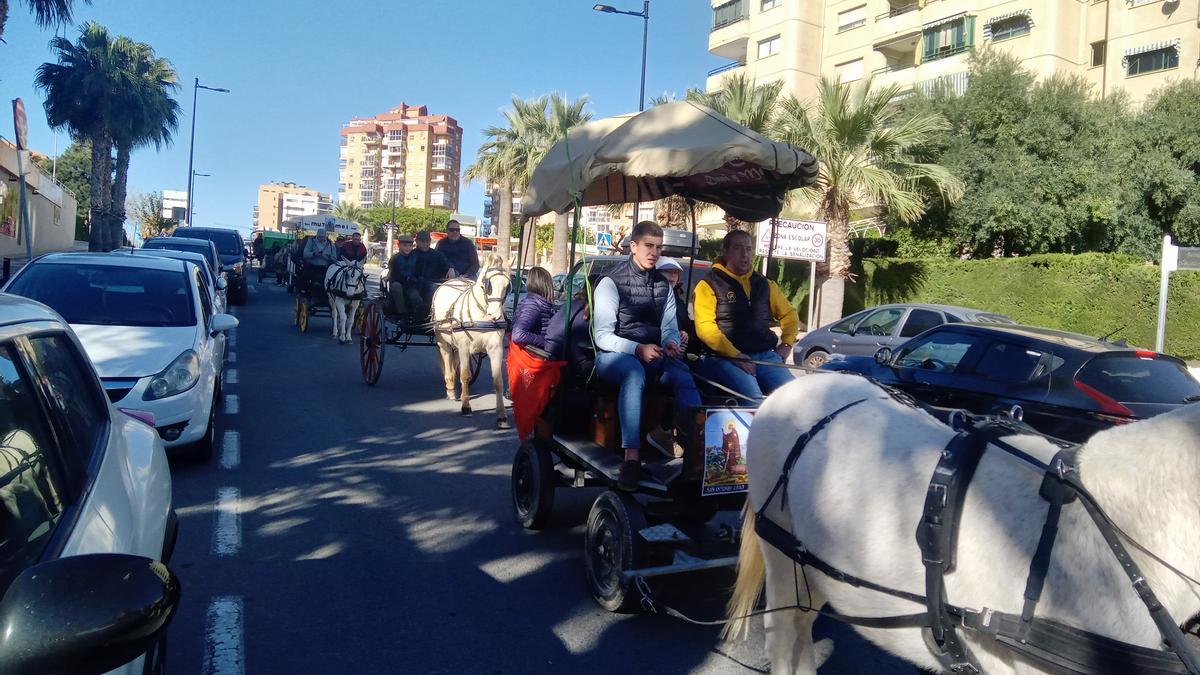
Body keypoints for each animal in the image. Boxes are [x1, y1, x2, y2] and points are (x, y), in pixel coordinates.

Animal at [429, 252, 508, 425]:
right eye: (487, 284)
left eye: (507, 287)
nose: (495, 315)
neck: (482, 316)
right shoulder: (465, 347)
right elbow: (465, 376)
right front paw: (466, 406)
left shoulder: (496, 349)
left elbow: (498, 381)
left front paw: (502, 416)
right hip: (442, 339)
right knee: (446, 357)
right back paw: (450, 388)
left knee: (454, 360)